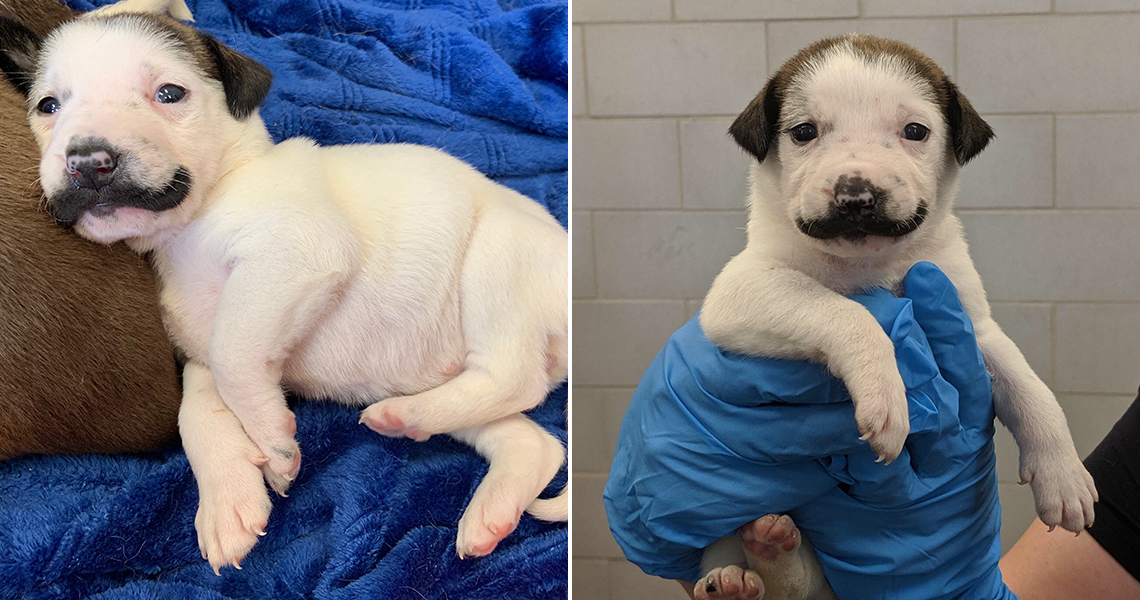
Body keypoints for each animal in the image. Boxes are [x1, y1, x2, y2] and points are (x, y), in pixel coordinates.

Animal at [684, 36, 1094, 600]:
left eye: (914, 131)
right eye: (804, 132)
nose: (856, 196)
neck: (869, 262)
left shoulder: (972, 325)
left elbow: (1031, 389)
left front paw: (1064, 474)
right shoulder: (743, 289)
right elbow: (846, 312)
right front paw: (885, 393)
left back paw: (770, 550)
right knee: (752, 563)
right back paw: (732, 576)